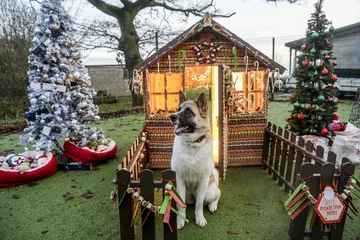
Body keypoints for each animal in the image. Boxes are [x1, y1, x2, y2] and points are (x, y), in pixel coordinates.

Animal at [170, 90, 221, 229]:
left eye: (188, 112)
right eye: (178, 109)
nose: (171, 116)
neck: (192, 145)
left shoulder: (203, 181)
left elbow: (199, 204)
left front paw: (199, 218)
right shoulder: (180, 179)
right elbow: (182, 205)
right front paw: (180, 220)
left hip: (209, 192)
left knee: (216, 195)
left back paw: (213, 205)